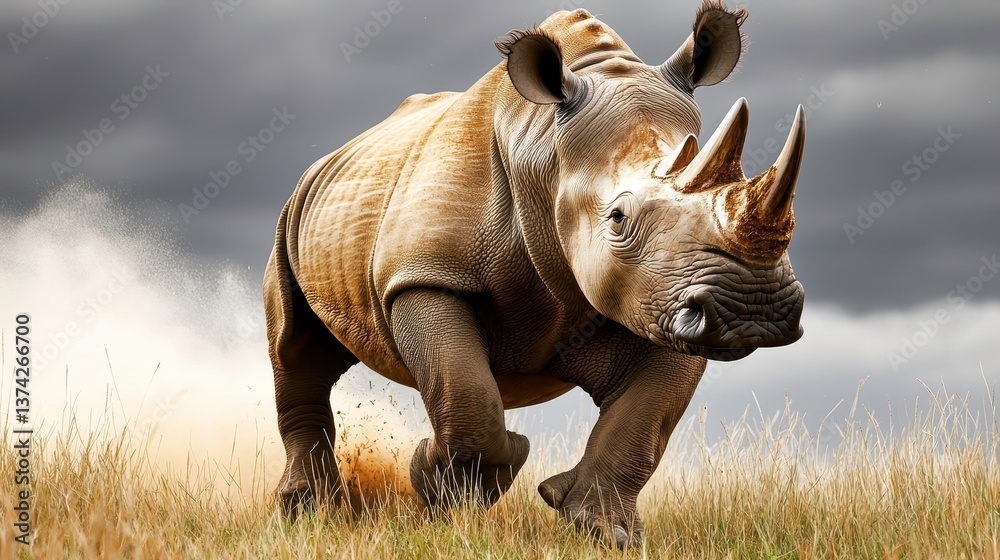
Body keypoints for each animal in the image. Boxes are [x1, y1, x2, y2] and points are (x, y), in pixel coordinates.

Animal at [264, 0, 806, 546]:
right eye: (618, 218)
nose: (752, 309)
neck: (546, 153)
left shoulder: (665, 295)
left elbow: (646, 418)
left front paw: (604, 530)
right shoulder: (424, 274)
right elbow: (465, 395)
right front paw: (443, 490)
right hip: (291, 212)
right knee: (295, 350)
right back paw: (308, 511)